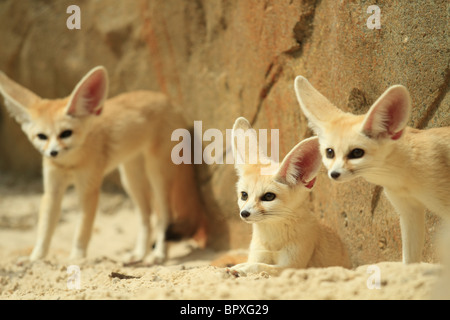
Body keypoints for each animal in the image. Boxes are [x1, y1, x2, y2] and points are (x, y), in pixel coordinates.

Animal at [0, 66, 207, 262]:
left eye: (65, 134)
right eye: (41, 136)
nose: (53, 153)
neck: (69, 165)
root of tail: (172, 104)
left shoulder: (88, 190)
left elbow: (82, 230)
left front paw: (76, 258)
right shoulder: (52, 190)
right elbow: (44, 230)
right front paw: (35, 258)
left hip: (157, 176)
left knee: (164, 217)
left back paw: (158, 254)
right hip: (131, 180)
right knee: (146, 217)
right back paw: (140, 253)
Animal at [229, 116, 352, 276]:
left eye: (268, 197)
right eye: (244, 195)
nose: (244, 213)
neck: (272, 239)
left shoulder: (292, 266)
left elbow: (260, 266)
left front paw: (241, 268)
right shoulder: (259, 254)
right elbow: (256, 262)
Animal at [296, 76, 450, 264]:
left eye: (356, 153)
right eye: (329, 152)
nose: (334, 174)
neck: (406, 174)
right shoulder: (408, 211)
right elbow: (410, 260)